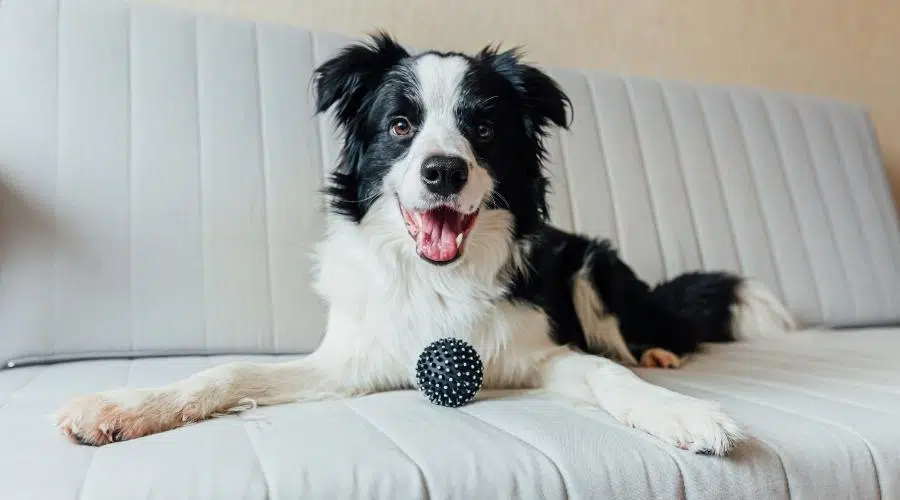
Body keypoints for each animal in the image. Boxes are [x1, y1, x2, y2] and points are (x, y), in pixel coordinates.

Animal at [56, 34, 792, 458]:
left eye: (484, 129)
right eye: (401, 126)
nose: (443, 172)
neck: (438, 275)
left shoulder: (540, 352)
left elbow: (609, 375)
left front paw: (684, 414)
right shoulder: (352, 360)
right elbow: (228, 373)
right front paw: (123, 407)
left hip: (592, 264)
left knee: (629, 337)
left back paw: (659, 353)